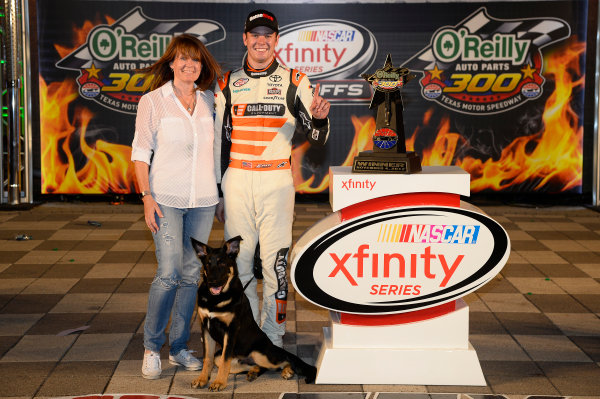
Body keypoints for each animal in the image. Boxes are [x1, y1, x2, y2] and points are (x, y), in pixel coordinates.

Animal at [191, 236, 318, 392]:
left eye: (222, 263)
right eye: (207, 264)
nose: (212, 283)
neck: (216, 298)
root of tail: (272, 345)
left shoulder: (231, 330)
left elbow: (225, 360)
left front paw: (219, 382)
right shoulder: (206, 328)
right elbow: (207, 358)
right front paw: (203, 379)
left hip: (260, 354)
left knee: (284, 361)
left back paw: (287, 371)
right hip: (226, 358)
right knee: (251, 366)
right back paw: (253, 372)